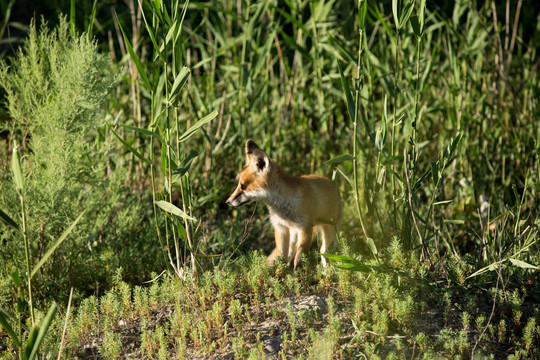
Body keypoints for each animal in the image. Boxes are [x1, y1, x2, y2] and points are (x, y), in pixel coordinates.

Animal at [225, 139, 342, 268]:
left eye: (243, 186)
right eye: (239, 185)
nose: (227, 202)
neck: (284, 208)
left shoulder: (305, 228)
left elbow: (299, 259)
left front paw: (298, 272)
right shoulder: (280, 228)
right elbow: (282, 257)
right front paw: (280, 272)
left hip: (330, 232)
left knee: (324, 252)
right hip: (294, 237)